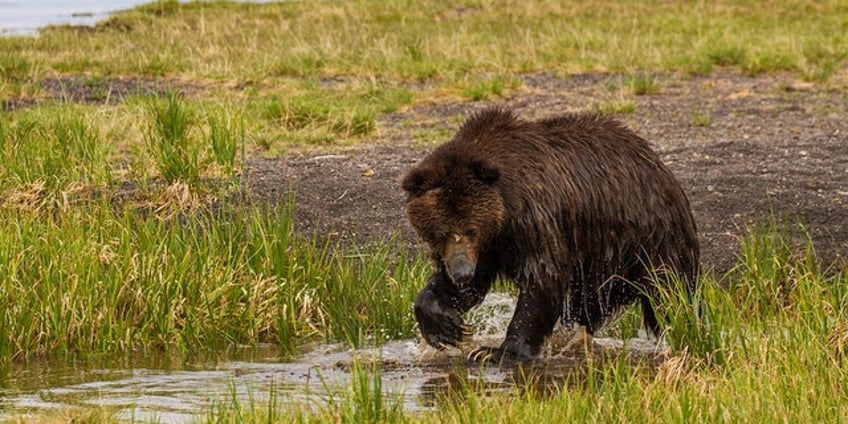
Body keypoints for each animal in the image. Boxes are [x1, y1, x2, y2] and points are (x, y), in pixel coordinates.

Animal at [404, 107, 704, 362]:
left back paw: (684, 326)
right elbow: (466, 288)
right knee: (588, 305)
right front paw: (445, 326)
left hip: (647, 238)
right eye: (440, 233)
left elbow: (542, 277)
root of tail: (659, 164)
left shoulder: (533, 219)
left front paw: (499, 351)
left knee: (669, 292)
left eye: (471, 229)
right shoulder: (489, 247)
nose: (462, 273)